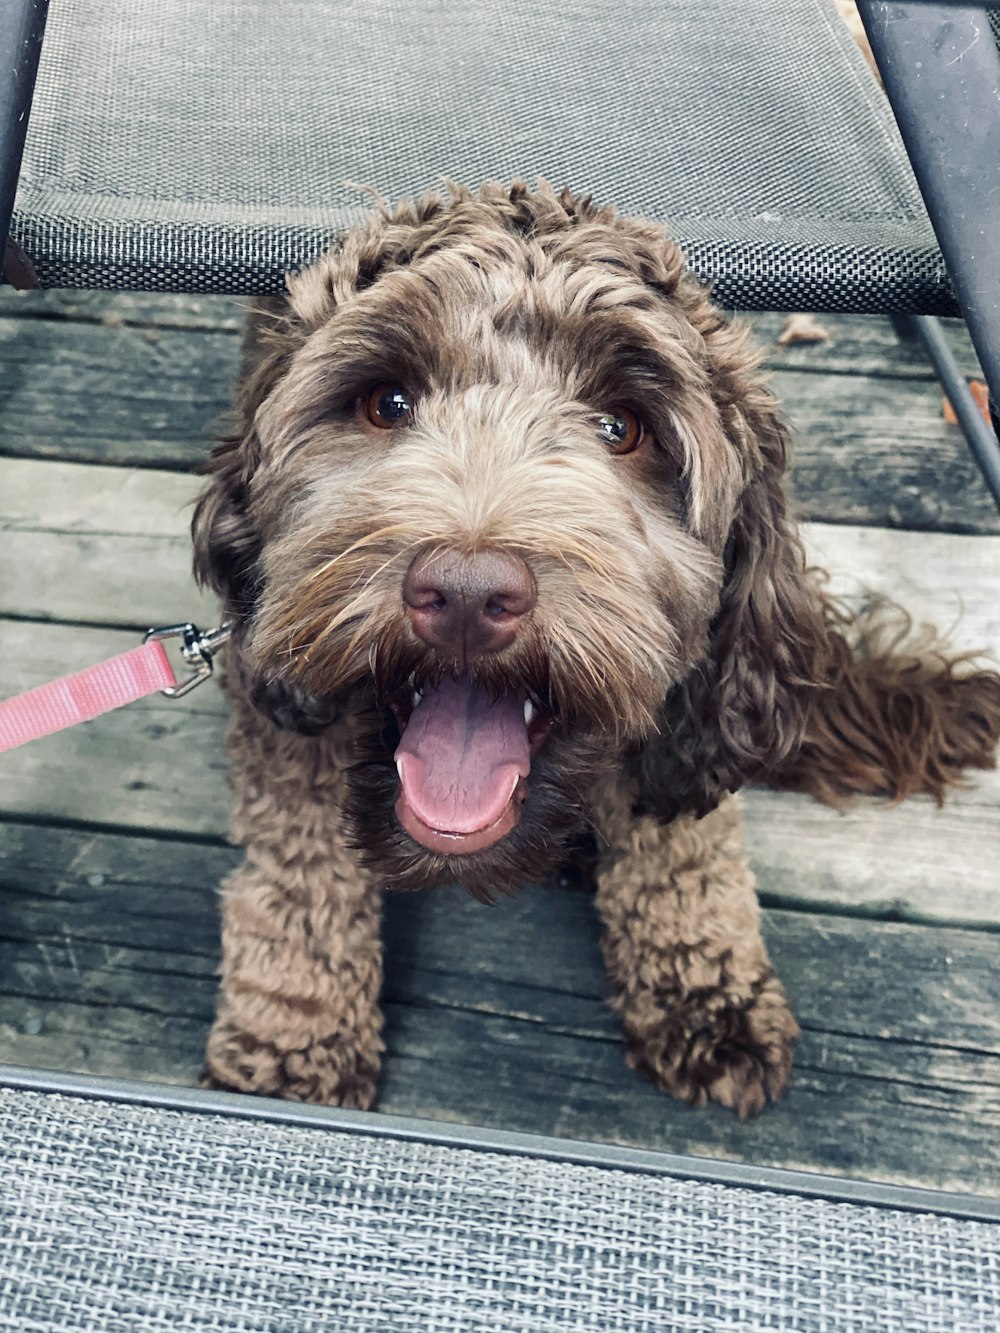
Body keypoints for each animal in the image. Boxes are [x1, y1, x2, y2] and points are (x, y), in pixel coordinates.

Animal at [193, 177, 1000, 1114]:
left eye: (622, 428)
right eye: (385, 404)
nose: (466, 593)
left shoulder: (693, 710)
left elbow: (682, 840)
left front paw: (704, 989)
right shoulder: (282, 701)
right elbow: (300, 863)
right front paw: (294, 1033)